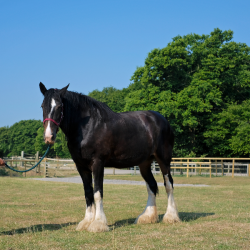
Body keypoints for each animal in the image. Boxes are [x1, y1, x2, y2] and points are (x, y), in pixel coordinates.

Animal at [39, 82, 180, 232]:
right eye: (42, 106)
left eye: (60, 106)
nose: (49, 137)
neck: (88, 127)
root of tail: (162, 119)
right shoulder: (81, 166)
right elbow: (88, 193)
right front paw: (87, 221)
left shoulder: (97, 163)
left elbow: (97, 193)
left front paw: (98, 223)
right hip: (144, 164)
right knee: (152, 185)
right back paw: (147, 217)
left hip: (163, 160)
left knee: (168, 184)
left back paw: (171, 217)